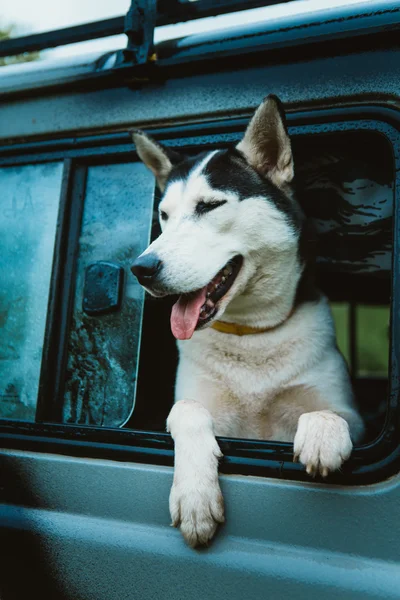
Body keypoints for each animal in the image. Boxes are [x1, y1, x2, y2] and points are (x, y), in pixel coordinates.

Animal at [132, 95, 366, 548]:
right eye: (164, 215)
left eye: (209, 206)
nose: (142, 268)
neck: (249, 333)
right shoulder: (193, 403)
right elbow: (187, 410)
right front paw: (195, 496)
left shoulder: (355, 415)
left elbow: (332, 412)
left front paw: (322, 432)